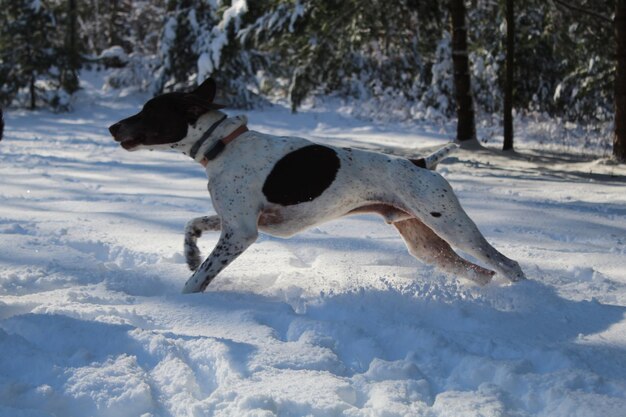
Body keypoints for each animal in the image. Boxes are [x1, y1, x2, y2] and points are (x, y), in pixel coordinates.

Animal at [107, 79, 520, 292]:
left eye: (149, 111)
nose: (112, 127)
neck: (222, 146)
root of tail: (422, 162)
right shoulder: (236, 221)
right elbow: (191, 226)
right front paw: (190, 253)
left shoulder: (241, 233)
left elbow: (199, 278)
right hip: (426, 245)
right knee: (482, 272)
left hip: (454, 227)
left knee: (509, 265)